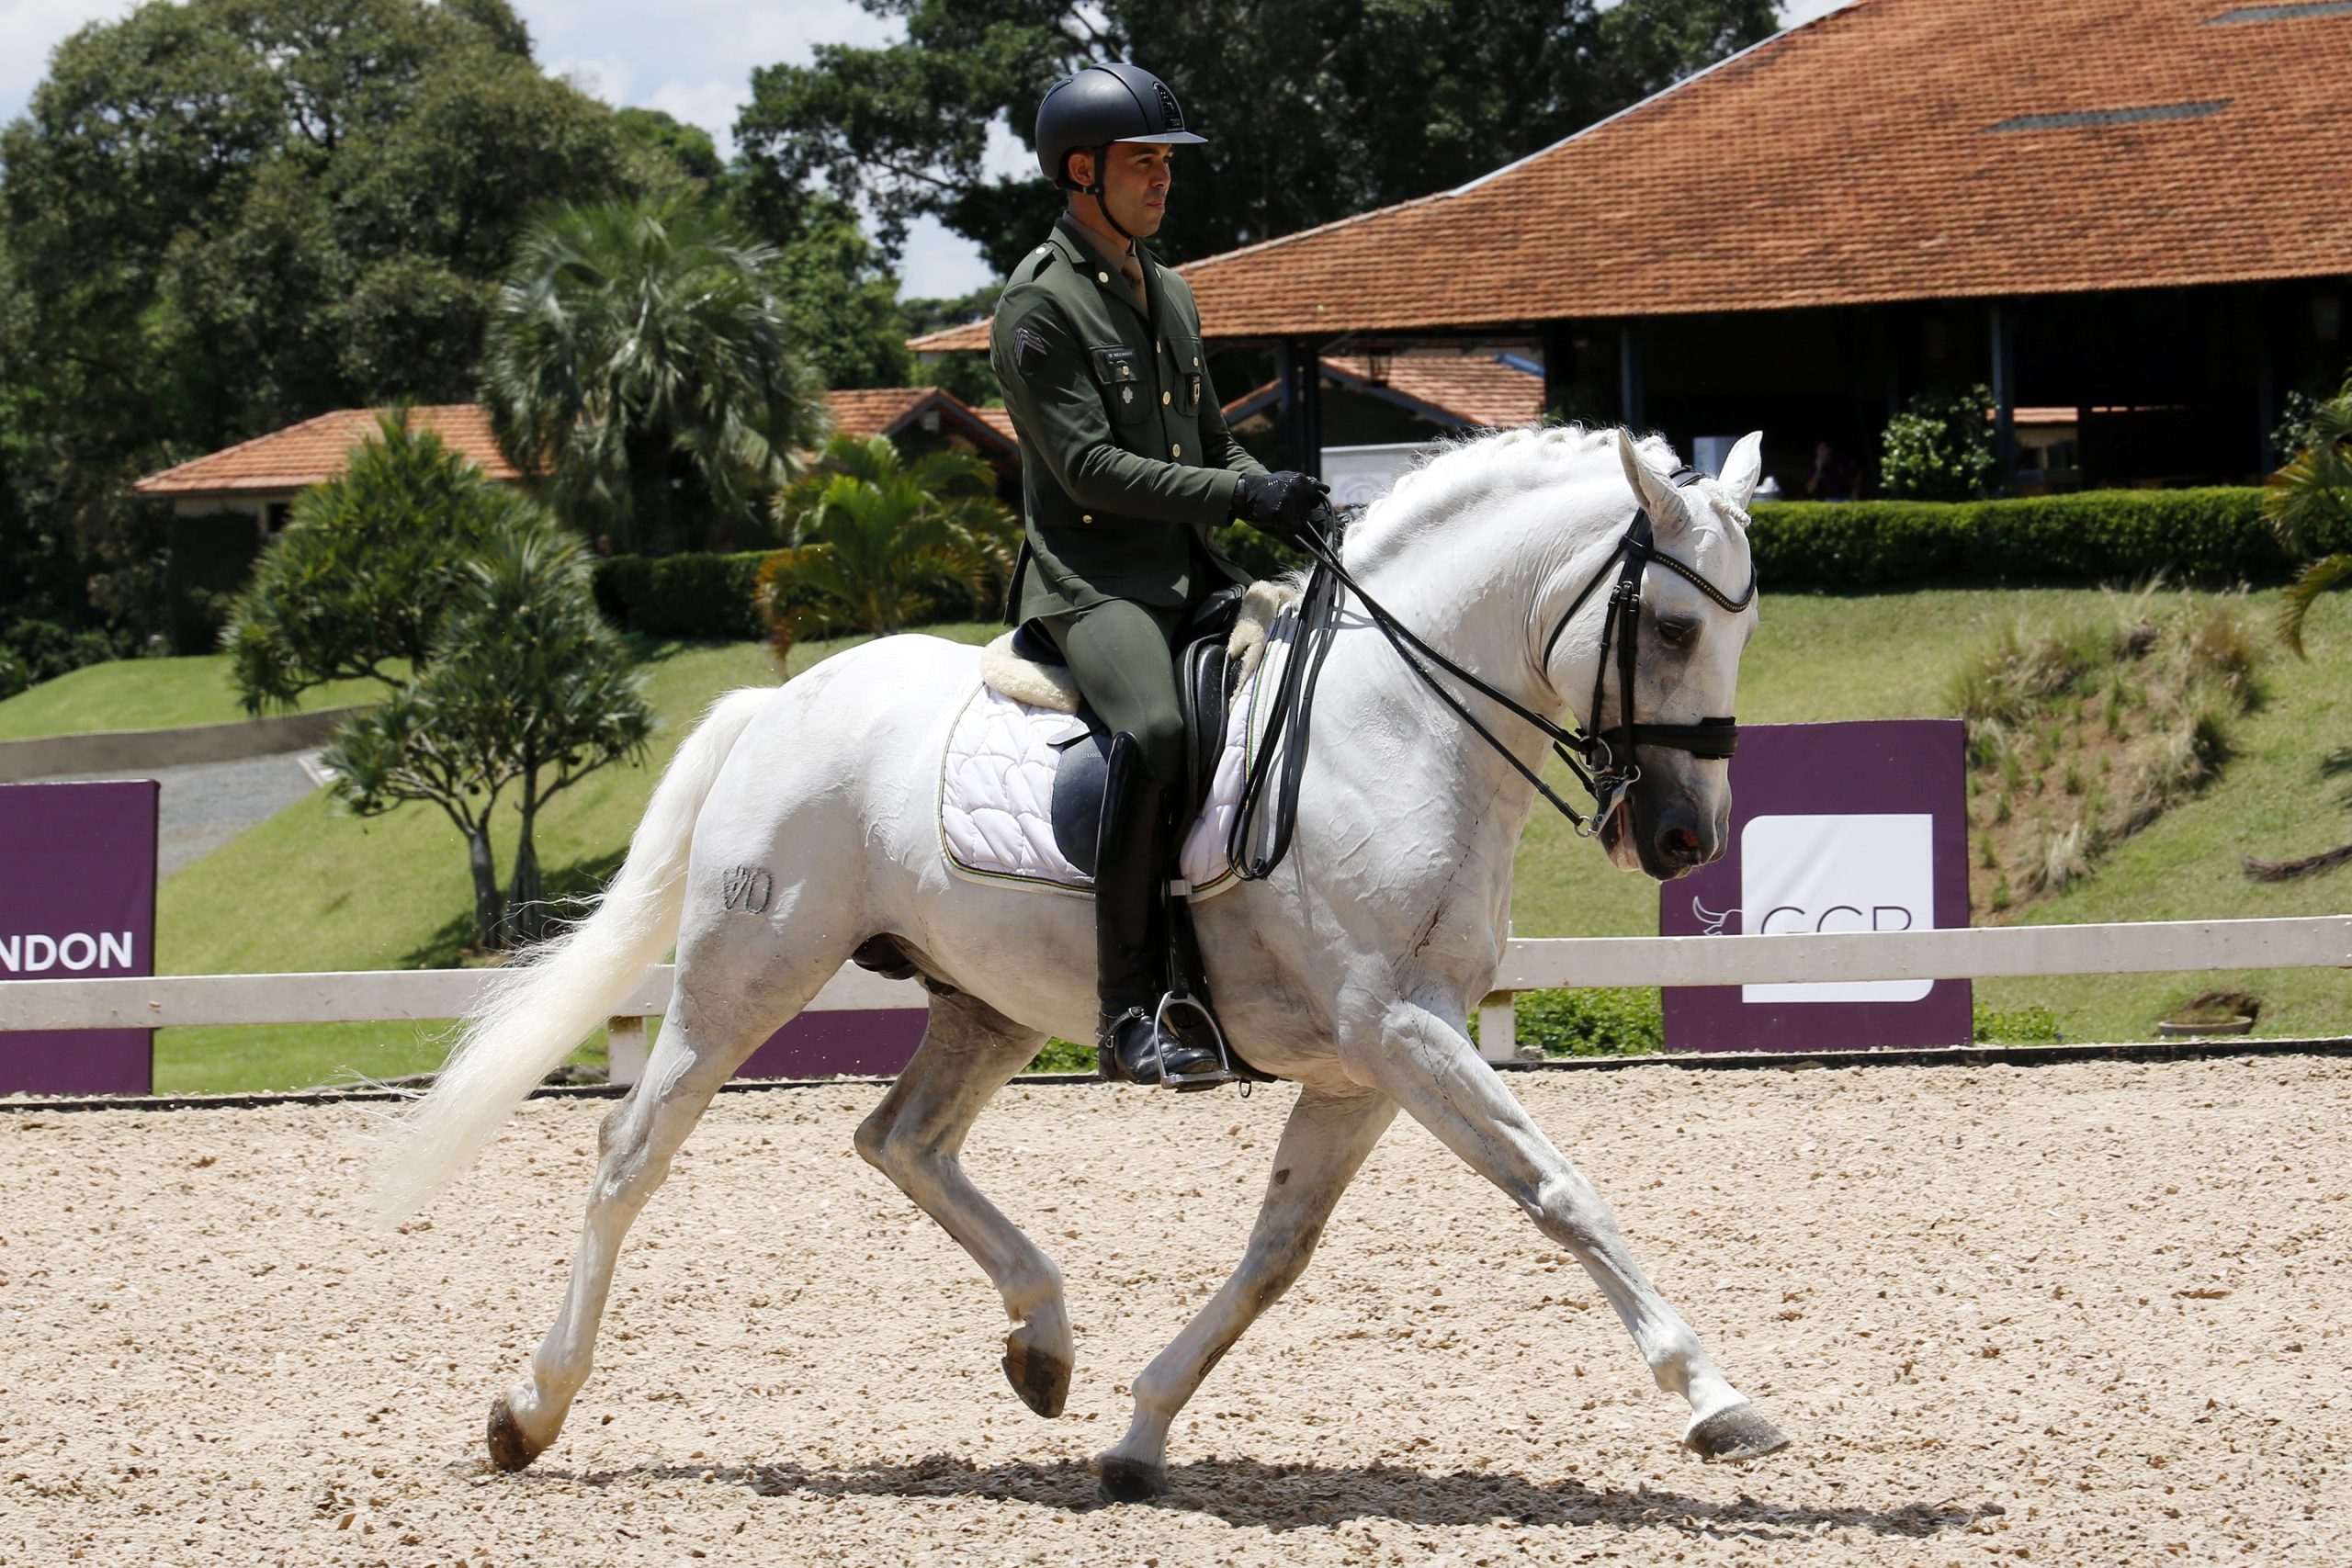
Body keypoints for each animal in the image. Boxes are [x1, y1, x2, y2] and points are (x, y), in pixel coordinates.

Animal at [377, 423, 1785, 1500]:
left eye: (1741, 629)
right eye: (1667, 627)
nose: (1683, 838)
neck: (1395, 723)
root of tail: (782, 701)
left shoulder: (1366, 1064)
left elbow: (1277, 1253)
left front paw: (1139, 1430)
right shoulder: (1401, 1029)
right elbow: (1561, 1192)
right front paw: (1714, 1396)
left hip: (985, 1000)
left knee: (901, 1139)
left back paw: (1042, 1342)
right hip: (747, 973)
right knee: (632, 1157)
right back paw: (530, 1409)